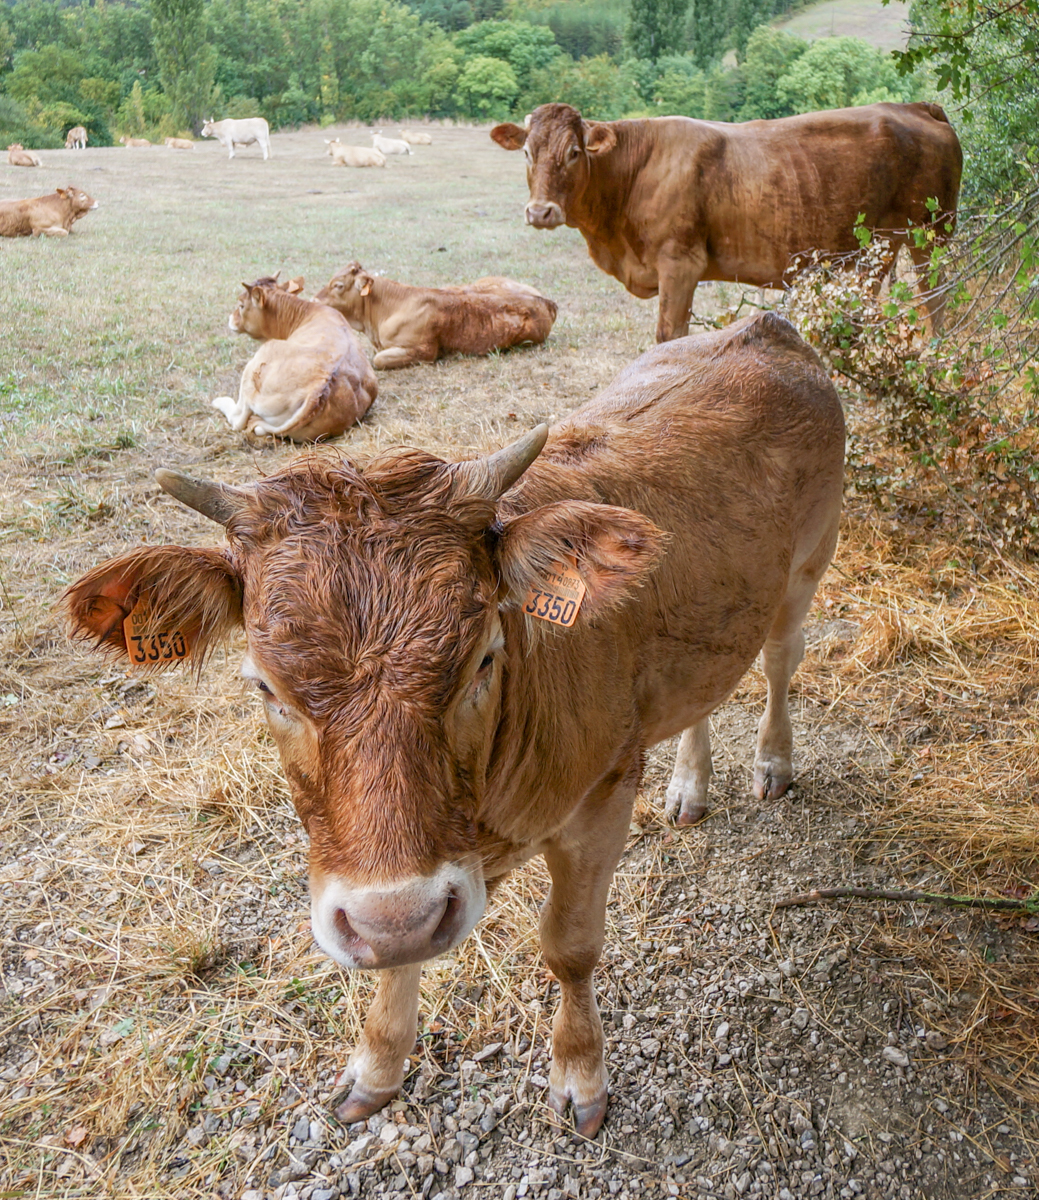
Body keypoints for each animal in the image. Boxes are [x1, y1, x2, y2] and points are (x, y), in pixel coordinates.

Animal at [62, 309, 844, 1132]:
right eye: (266, 686)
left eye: (483, 659)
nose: (396, 915)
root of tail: (764, 326)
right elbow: (397, 967)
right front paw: (377, 1064)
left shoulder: (602, 794)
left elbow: (570, 946)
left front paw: (580, 1074)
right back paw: (690, 785)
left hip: (806, 568)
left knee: (778, 660)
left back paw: (772, 763)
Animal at [211, 274, 376, 444]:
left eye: (241, 305)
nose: (231, 318)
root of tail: (319, 386)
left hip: (254, 369)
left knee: (238, 419)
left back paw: (219, 401)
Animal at [489, 99, 959, 343]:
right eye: (527, 152)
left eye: (574, 152)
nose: (540, 212)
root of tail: (914, 106)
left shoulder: (681, 263)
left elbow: (670, 335)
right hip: (881, 246)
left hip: (929, 233)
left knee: (937, 299)